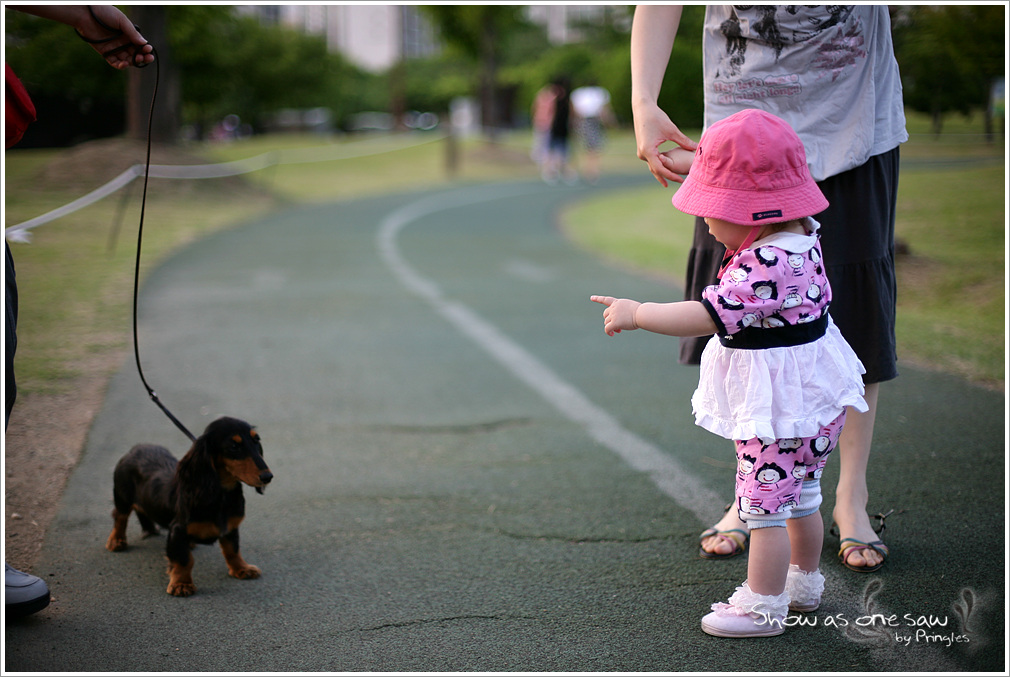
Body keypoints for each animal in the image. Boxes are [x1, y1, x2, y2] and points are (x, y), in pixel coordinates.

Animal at [105, 416, 272, 598]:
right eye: (234, 446)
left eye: (256, 440)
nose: (268, 477)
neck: (221, 494)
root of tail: (135, 449)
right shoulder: (177, 530)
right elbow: (184, 560)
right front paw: (181, 584)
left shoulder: (230, 528)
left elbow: (232, 550)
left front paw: (242, 568)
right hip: (122, 496)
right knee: (120, 516)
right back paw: (116, 540)